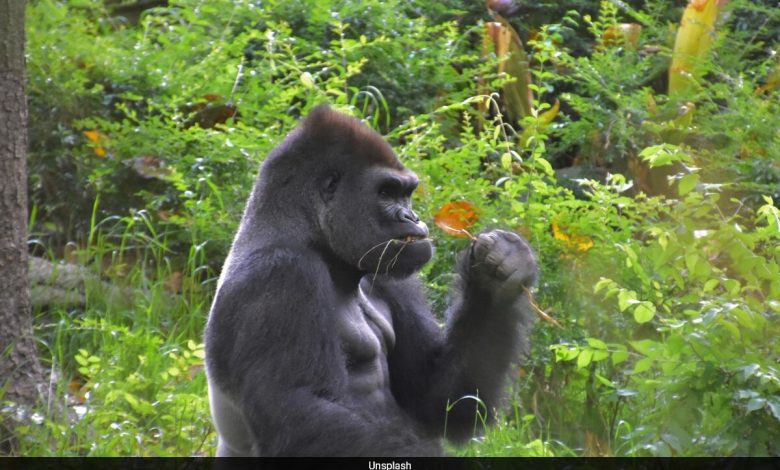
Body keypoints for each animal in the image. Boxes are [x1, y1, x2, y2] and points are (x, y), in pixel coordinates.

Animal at [204, 105, 540, 456]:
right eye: (386, 192)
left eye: (406, 193)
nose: (412, 217)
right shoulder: (280, 275)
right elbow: (297, 411)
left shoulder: (389, 273)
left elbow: (438, 399)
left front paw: (496, 279)